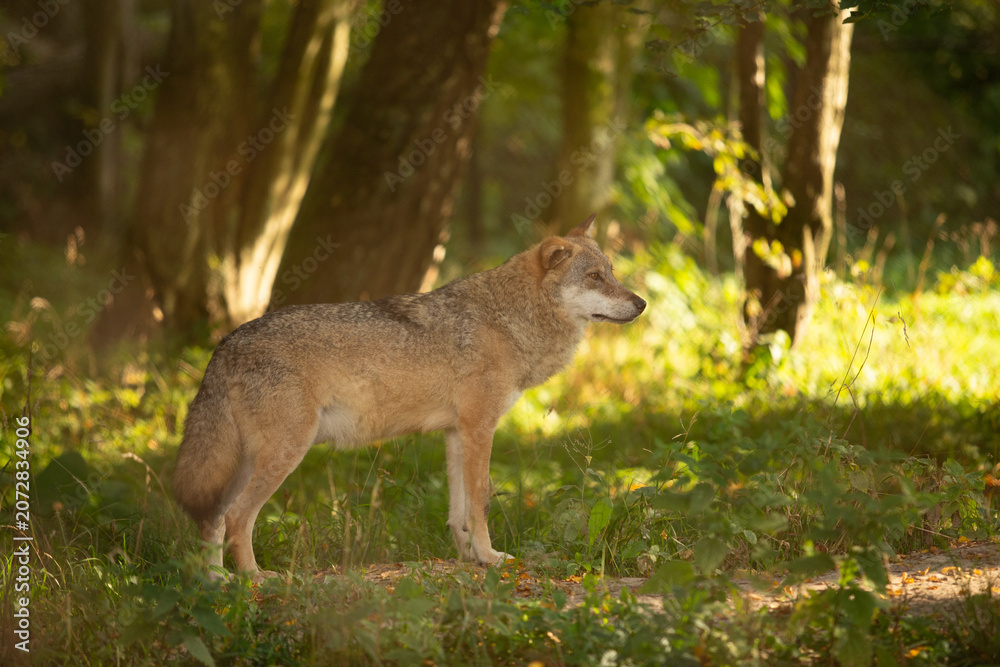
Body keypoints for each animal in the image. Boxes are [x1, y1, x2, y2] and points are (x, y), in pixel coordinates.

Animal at [172, 215, 646, 582]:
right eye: (595, 277)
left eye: (612, 272)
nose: (641, 303)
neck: (508, 319)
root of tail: (225, 344)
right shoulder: (479, 428)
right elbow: (481, 500)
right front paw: (491, 558)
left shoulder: (457, 433)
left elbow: (459, 512)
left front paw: (470, 559)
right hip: (285, 454)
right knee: (236, 518)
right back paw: (254, 578)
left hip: (247, 462)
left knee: (213, 519)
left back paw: (215, 583)